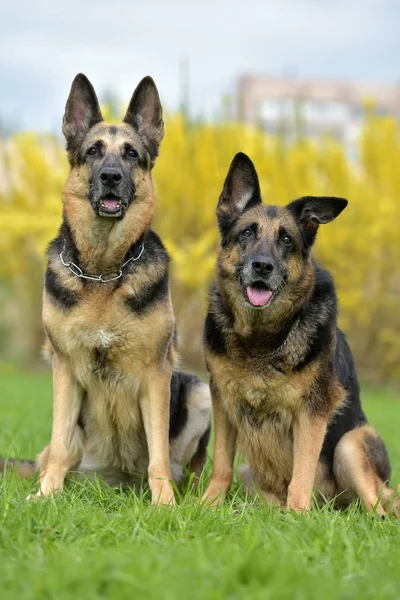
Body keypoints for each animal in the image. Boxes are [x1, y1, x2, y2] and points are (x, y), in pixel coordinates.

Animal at [2, 75, 212, 506]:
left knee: (191, 466)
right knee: (57, 453)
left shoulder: (155, 375)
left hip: (199, 392)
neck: (104, 271)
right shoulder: (64, 371)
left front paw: (164, 504)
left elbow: (158, 453)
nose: (111, 176)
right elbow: (60, 444)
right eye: (93, 152)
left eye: (131, 154)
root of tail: (119, 482)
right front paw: (47, 495)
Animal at [205, 151, 398, 516]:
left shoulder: (311, 413)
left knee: (377, 511)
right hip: (250, 472)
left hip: (350, 446)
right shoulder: (223, 403)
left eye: (286, 240)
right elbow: (221, 464)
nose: (262, 266)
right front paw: (206, 505)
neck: (263, 337)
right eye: (246, 233)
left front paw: (297, 516)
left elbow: (302, 472)